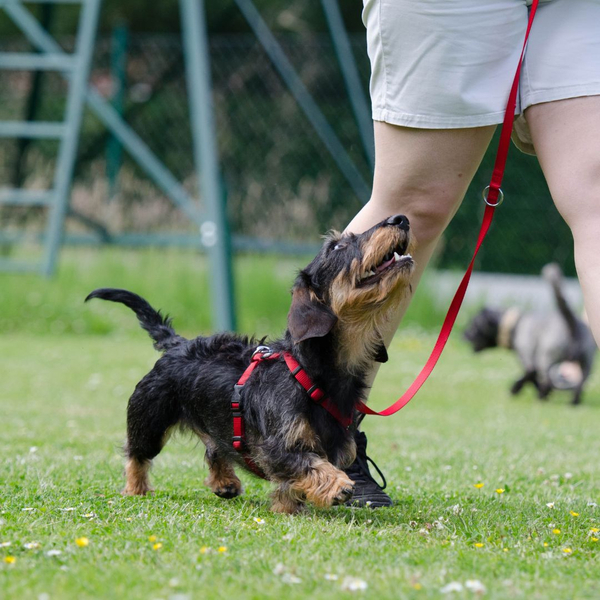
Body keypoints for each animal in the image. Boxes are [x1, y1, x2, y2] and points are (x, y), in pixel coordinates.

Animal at [84, 214, 414, 510]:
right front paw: (338, 485)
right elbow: (309, 464)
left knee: (214, 449)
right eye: (337, 247)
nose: (400, 219)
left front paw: (288, 506)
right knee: (136, 455)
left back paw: (225, 482)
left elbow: (293, 483)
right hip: (149, 419)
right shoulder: (276, 448)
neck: (310, 372)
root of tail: (178, 343)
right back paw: (135, 488)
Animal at [464, 262, 596, 404]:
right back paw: (574, 402)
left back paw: (541, 396)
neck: (515, 324)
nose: (463, 335)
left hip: (546, 358)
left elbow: (530, 376)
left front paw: (515, 389)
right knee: (580, 384)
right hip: (586, 363)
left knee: (547, 380)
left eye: (473, 325)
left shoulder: (528, 360)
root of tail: (572, 323)